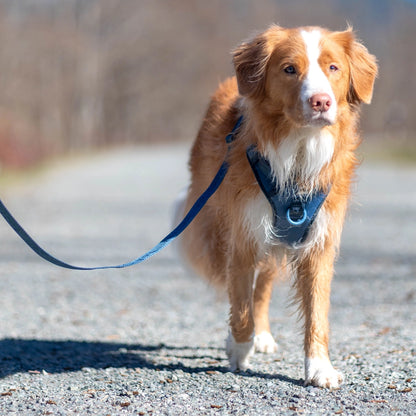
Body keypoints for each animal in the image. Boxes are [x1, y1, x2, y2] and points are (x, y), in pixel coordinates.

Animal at [176, 26, 376, 388]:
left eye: (333, 67)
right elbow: (239, 301)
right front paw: (239, 349)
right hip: (218, 231)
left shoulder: (319, 244)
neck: (299, 150)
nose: (321, 101)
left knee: (262, 289)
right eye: (289, 69)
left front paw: (319, 367)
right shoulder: (243, 235)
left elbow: (316, 312)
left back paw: (264, 335)